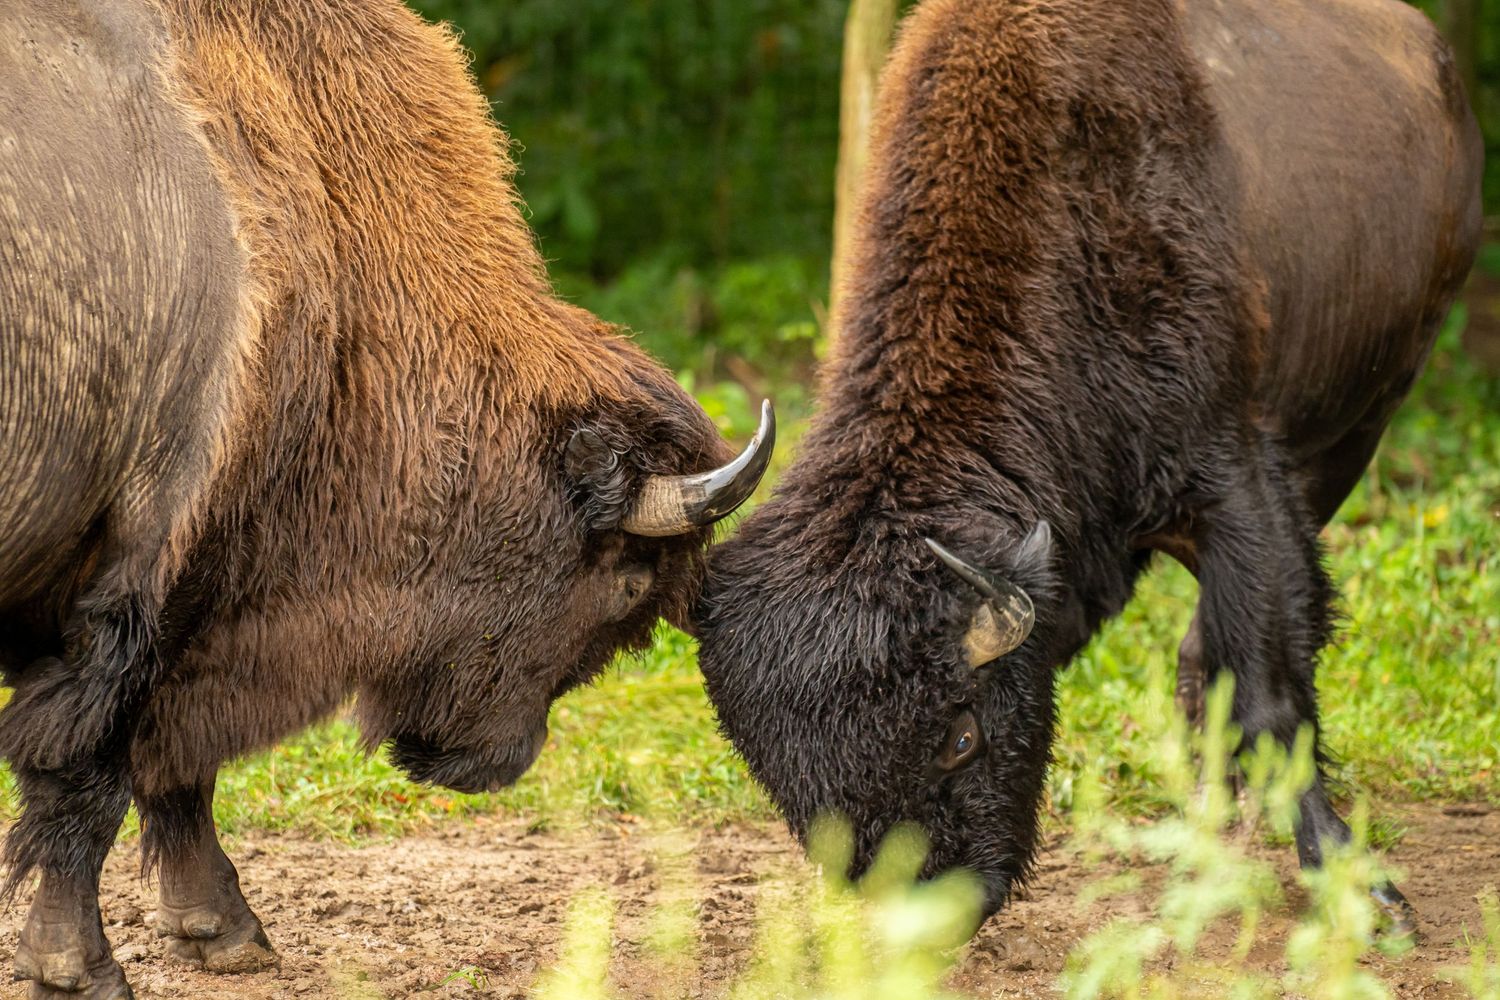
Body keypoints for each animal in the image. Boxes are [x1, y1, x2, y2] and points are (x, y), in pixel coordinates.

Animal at [0, 1, 772, 997]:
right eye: (628, 583)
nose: (496, 765)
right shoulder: (140, 587)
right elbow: (90, 777)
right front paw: (80, 967)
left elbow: (174, 773)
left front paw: (224, 932)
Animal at [698, 0, 1480, 928]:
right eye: (784, 783)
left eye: (962, 735)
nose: (927, 917)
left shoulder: (1235, 481)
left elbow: (1269, 689)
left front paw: (1365, 893)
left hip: (1365, 417)